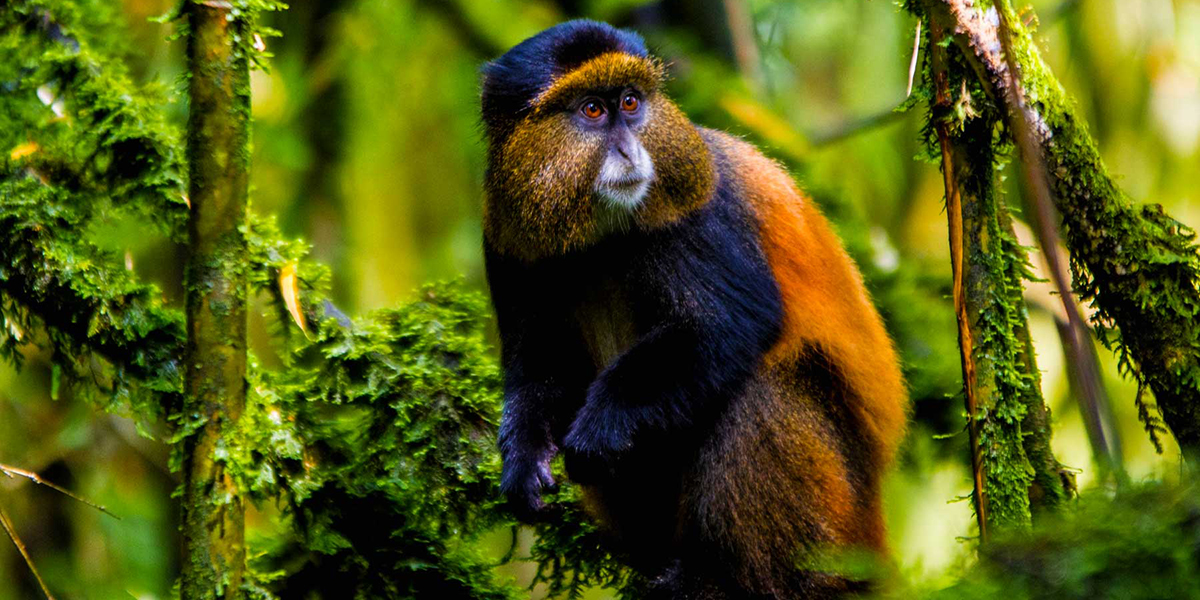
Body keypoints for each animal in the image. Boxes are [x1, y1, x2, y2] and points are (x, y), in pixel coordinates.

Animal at [480, 20, 907, 599]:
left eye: (630, 102)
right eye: (592, 110)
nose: (631, 152)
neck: (602, 235)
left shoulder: (697, 210)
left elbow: (726, 325)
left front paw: (600, 427)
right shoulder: (506, 242)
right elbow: (540, 368)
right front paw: (524, 461)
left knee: (760, 389)